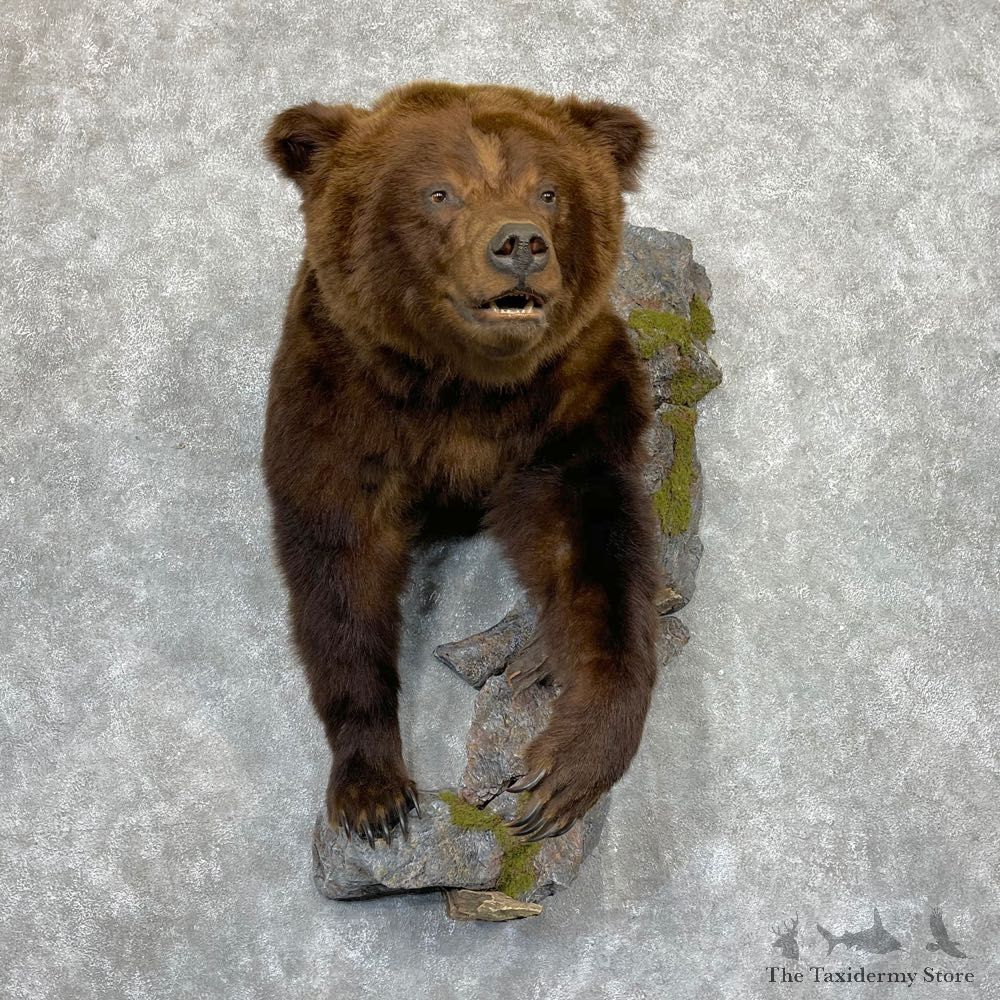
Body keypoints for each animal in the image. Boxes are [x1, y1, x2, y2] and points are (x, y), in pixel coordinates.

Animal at [262, 81, 660, 847]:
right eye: (440, 191)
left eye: (547, 191)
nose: (519, 244)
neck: (461, 385)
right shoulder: (342, 402)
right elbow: (340, 569)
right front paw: (374, 792)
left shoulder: (567, 404)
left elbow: (593, 554)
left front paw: (562, 771)